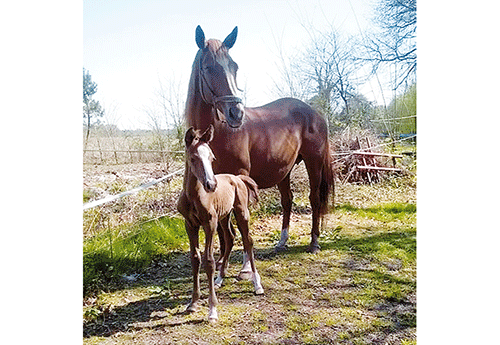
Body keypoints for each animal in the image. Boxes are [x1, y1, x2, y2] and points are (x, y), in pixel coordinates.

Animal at [177, 125, 264, 322]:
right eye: (193, 158)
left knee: (248, 241)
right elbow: (195, 259)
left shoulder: (209, 223)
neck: (193, 196)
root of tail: (238, 177)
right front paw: (193, 303)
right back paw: (219, 279)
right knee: (230, 238)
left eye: (212, 158)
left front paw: (212, 310)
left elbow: (208, 261)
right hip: (225, 217)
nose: (211, 185)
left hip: (241, 213)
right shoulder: (190, 225)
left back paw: (257, 284)